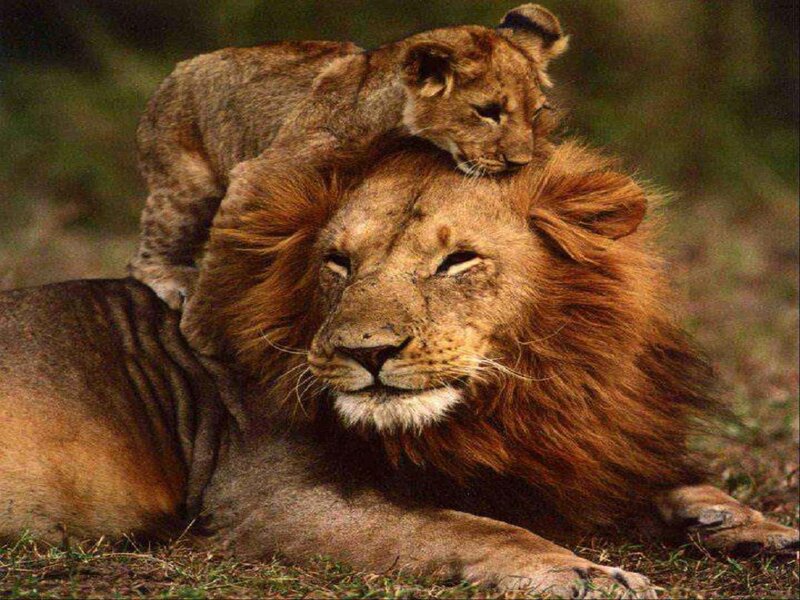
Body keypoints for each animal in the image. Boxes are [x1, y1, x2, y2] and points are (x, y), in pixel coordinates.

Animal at [1, 140, 797, 598]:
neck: (510, 400)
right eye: (337, 262)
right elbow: (466, 529)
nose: (366, 353)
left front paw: (747, 522)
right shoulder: (264, 498)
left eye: (458, 261)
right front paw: (586, 573)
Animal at [130, 4, 567, 310]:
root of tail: (177, 70)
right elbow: (230, 254)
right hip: (185, 184)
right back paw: (171, 277)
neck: (395, 128)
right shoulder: (260, 173)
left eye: (537, 113)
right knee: (147, 251)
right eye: (488, 112)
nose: (519, 163)